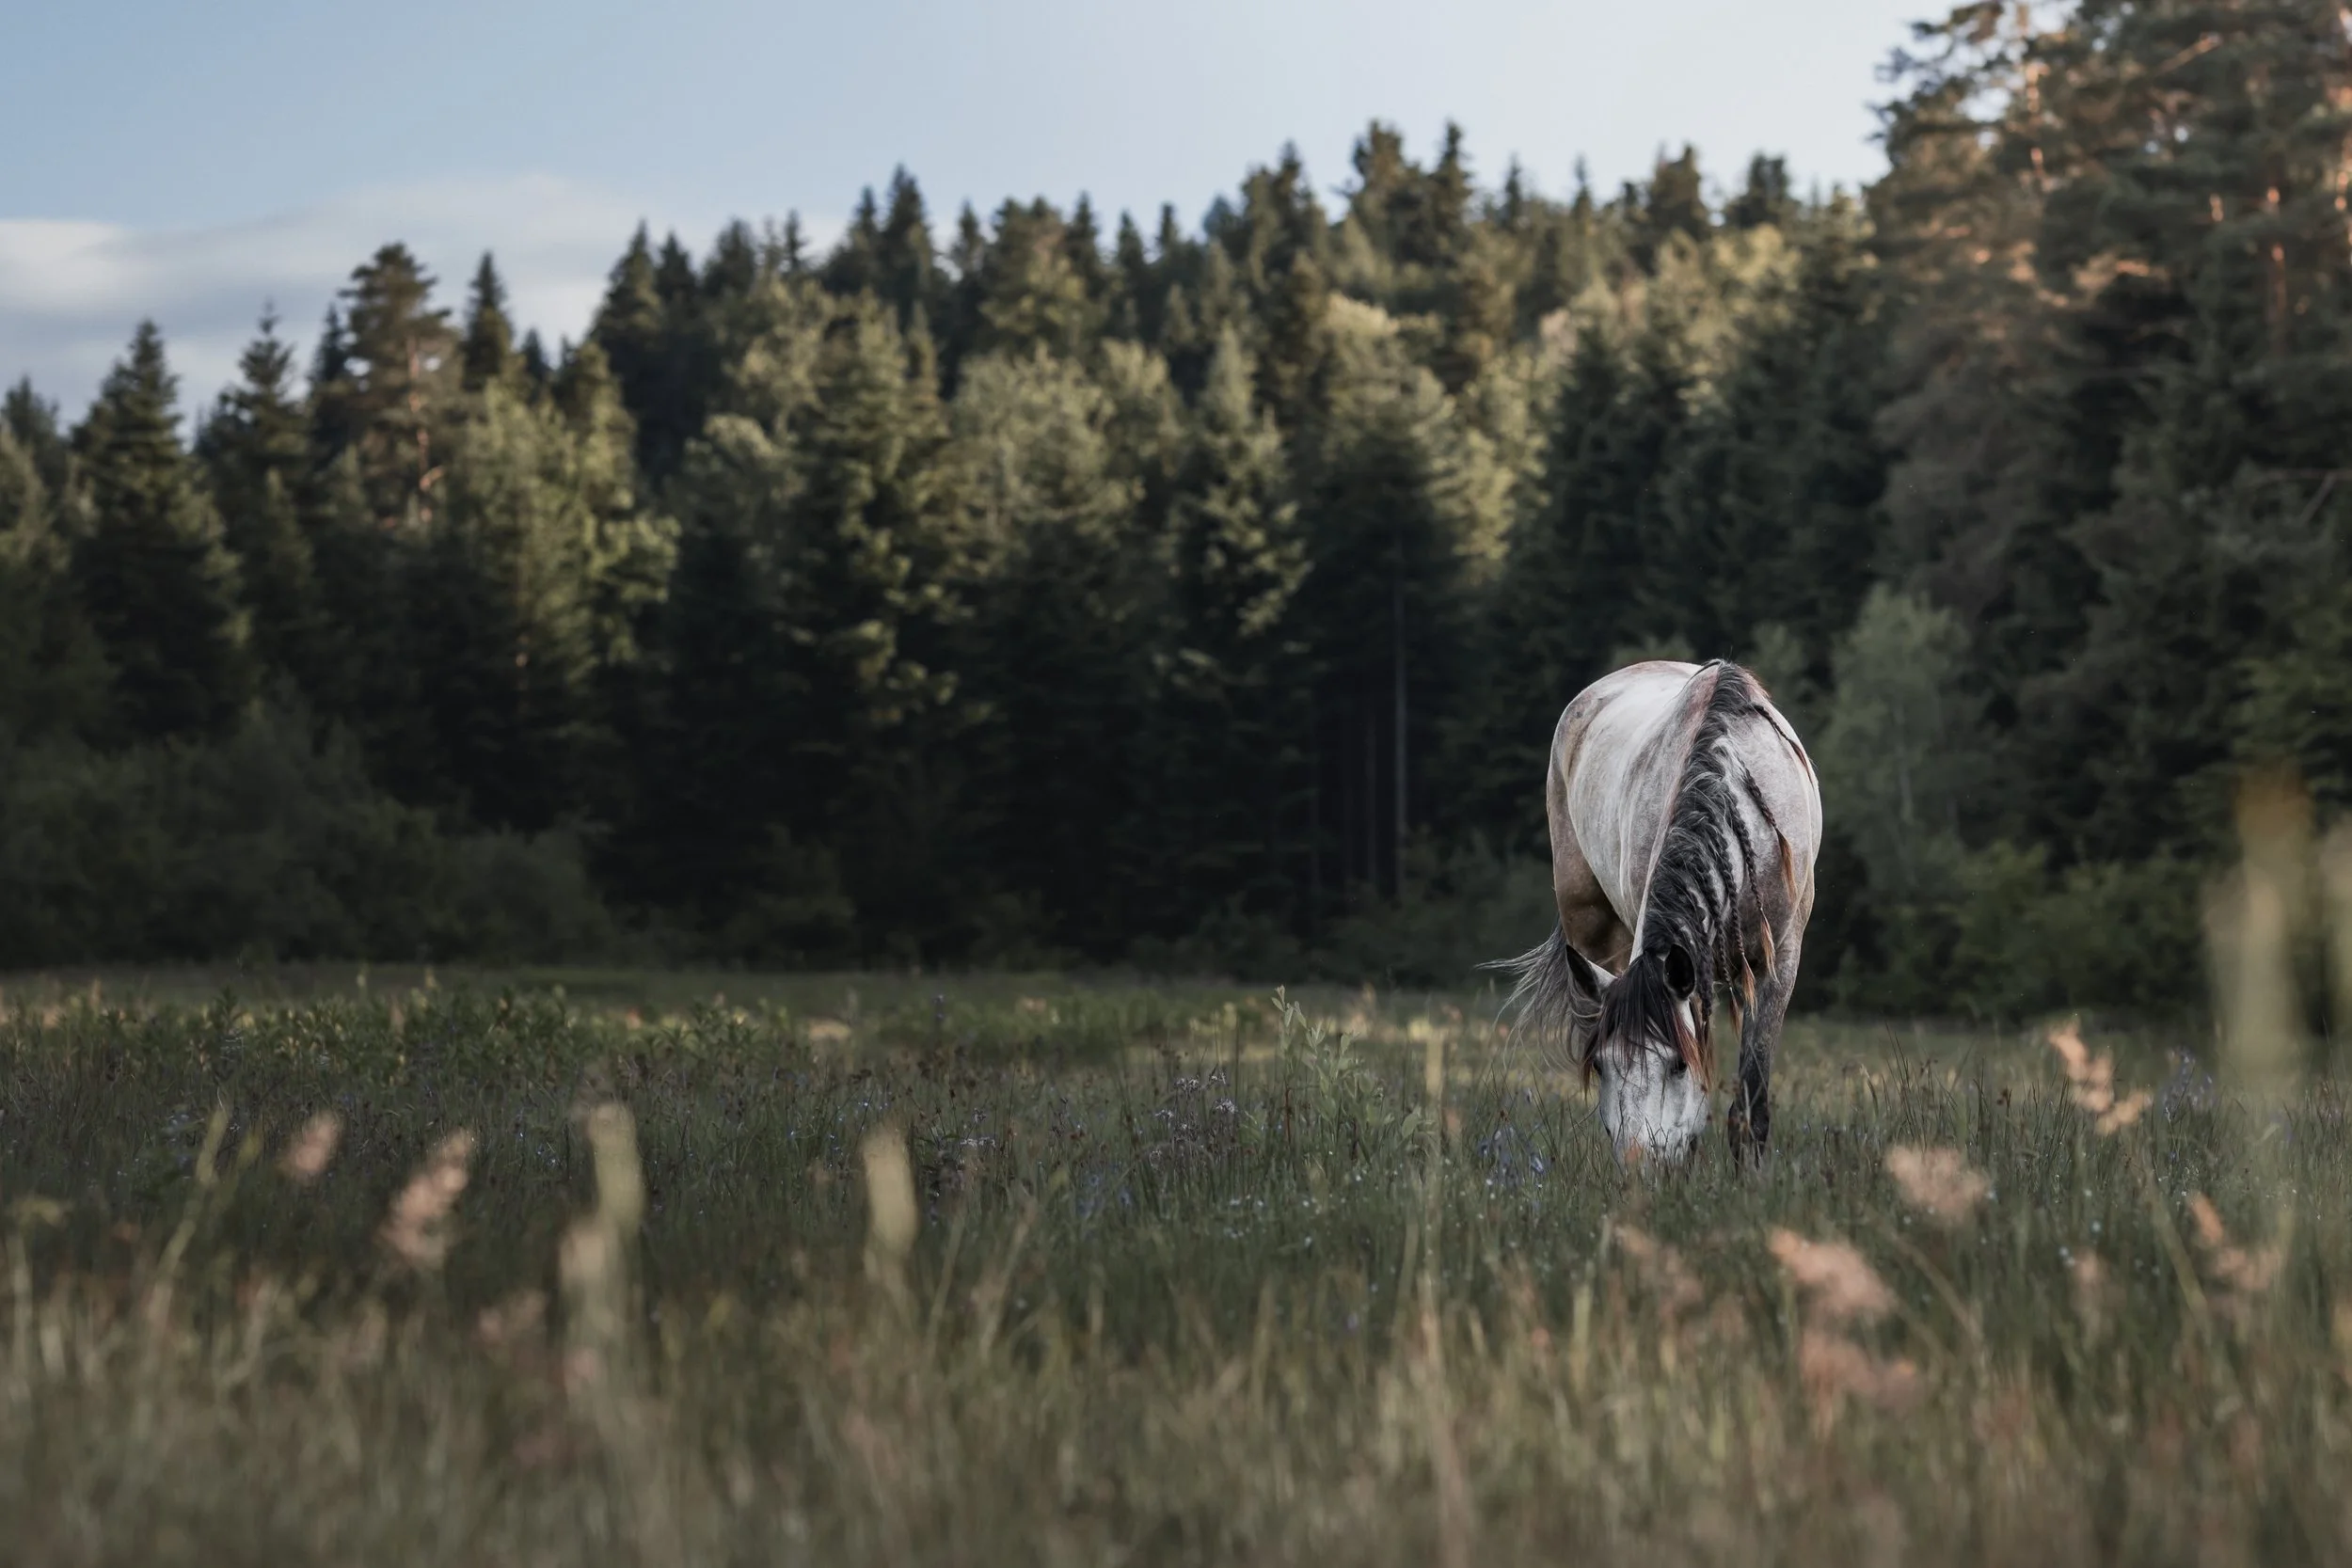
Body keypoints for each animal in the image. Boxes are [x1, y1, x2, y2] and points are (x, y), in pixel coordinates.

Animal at [1495, 659, 1821, 1167]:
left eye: (1677, 1065)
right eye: (1601, 1065)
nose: (1636, 1167)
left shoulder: (1778, 965)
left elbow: (1751, 1100)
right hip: (1590, 931)